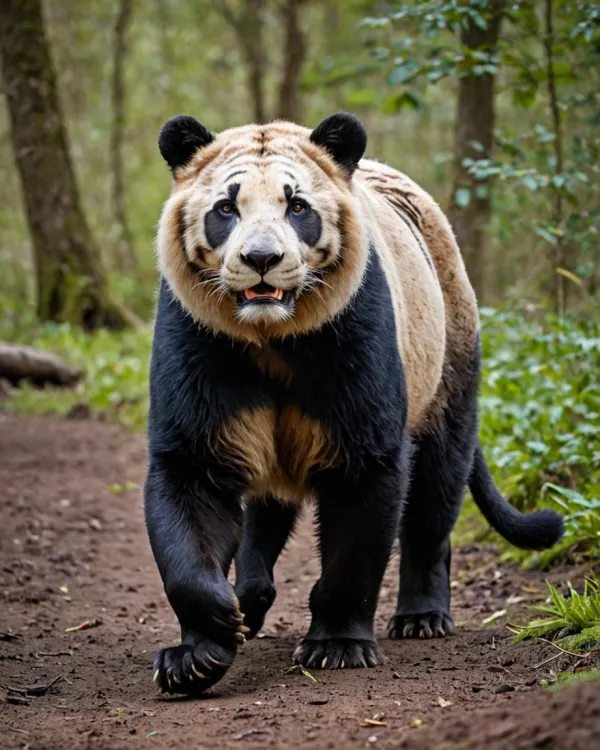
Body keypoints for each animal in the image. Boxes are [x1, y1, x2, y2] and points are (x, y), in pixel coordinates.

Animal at [144, 112, 563, 695]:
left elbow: (363, 487)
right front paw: (199, 651)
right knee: (268, 506)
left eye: (297, 207)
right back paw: (252, 597)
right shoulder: (200, 336)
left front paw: (336, 645)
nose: (261, 260)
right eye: (225, 208)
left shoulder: (352, 330)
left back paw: (422, 614)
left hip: (447, 349)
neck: (271, 334)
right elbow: (191, 484)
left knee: (438, 482)